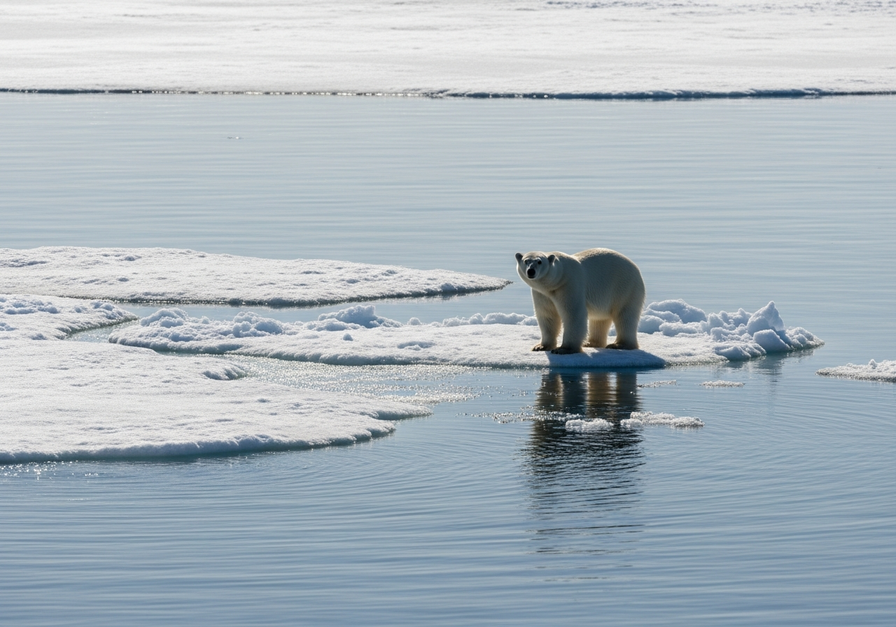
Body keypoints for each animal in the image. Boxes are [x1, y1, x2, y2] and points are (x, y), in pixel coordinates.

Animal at [515, 248, 646, 354]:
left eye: (539, 261)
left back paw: (619, 344)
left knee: (625, 316)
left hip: (625, 288)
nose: (531, 271)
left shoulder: (569, 285)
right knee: (599, 319)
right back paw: (591, 343)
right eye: (526, 261)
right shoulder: (542, 294)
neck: (557, 278)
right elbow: (547, 315)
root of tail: (636, 269)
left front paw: (563, 349)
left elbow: (573, 314)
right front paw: (540, 346)